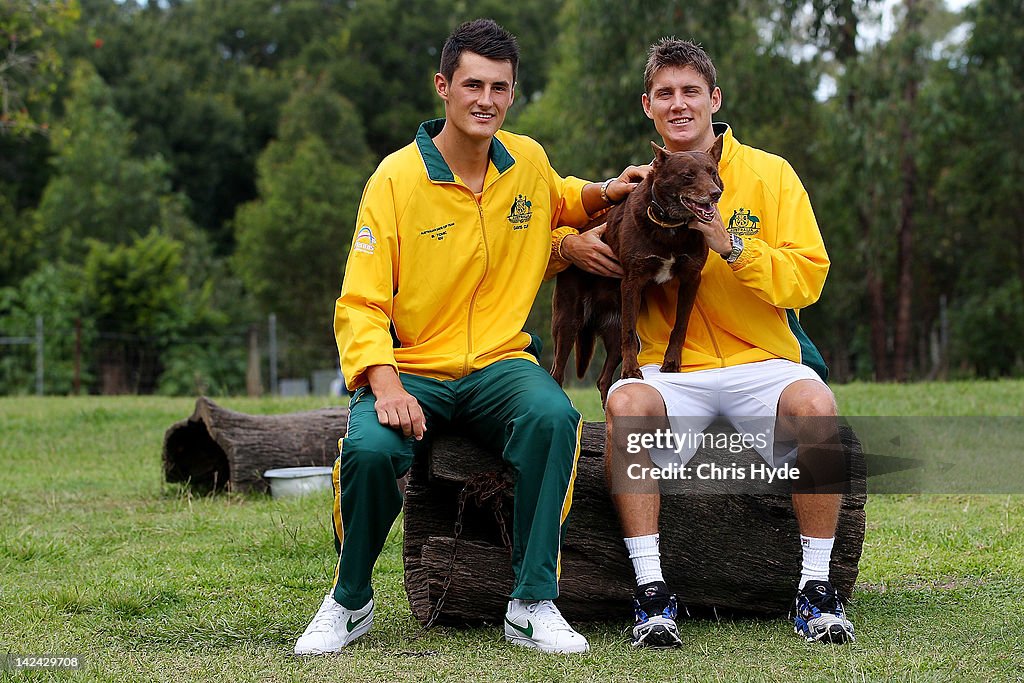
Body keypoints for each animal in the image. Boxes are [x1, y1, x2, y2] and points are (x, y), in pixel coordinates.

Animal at [548, 137, 724, 403]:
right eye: (687, 175)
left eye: (712, 172)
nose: (716, 193)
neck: (670, 226)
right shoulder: (632, 281)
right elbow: (630, 334)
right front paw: (632, 371)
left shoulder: (690, 279)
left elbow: (680, 326)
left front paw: (672, 364)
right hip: (568, 321)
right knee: (557, 373)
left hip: (613, 331)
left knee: (603, 380)